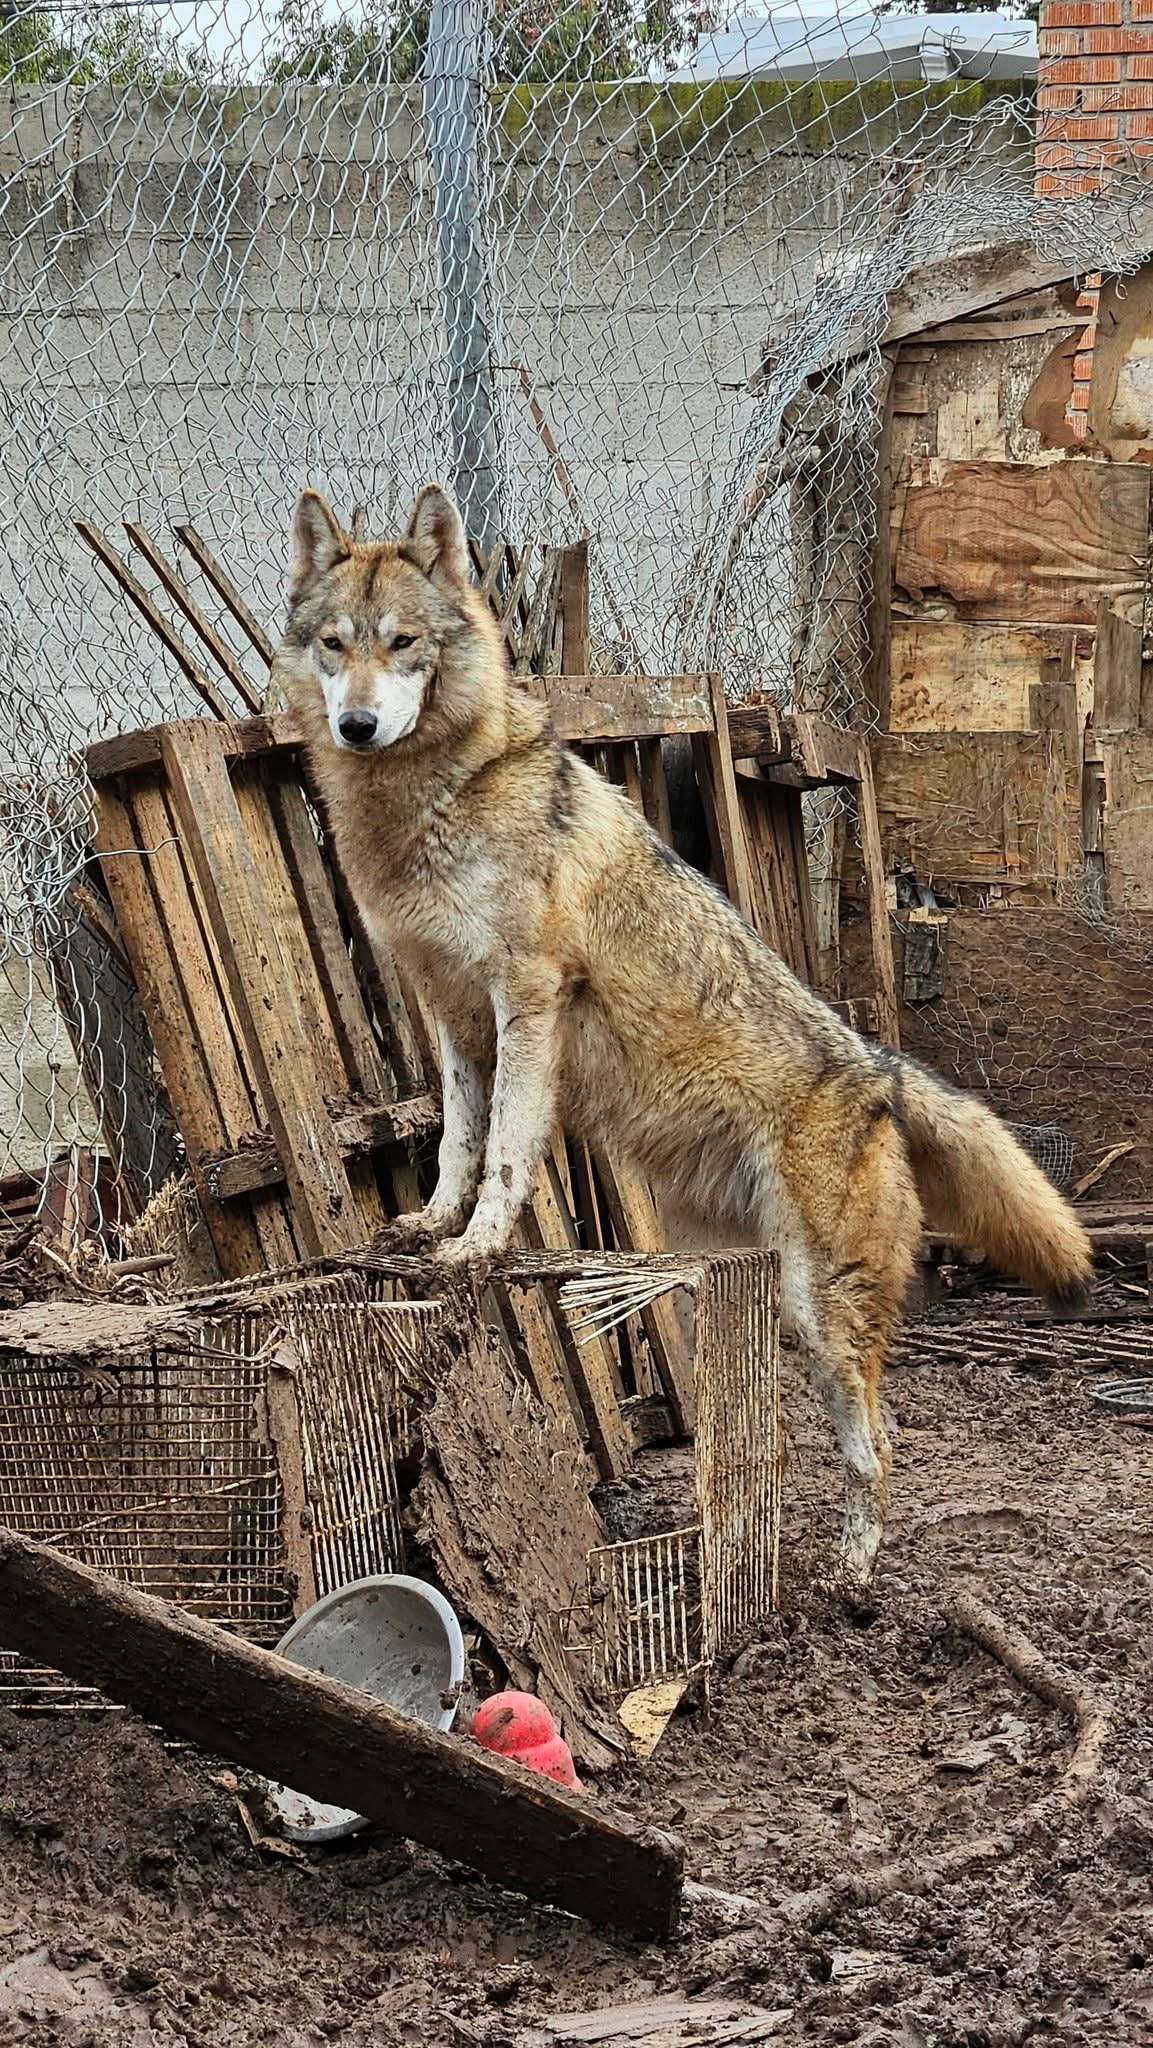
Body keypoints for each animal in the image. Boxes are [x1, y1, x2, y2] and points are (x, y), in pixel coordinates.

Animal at [276, 481, 1094, 1587]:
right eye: (334, 644)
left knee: (879, 1444)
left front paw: (479, 1246)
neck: (433, 800)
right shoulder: (451, 1013)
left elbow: (507, 1156)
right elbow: (455, 1141)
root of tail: (879, 1069)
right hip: (720, 1291)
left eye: (404, 643)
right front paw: (431, 1229)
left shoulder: (526, 997)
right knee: (768, 1439)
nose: (357, 725)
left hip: (817, 1311)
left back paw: (849, 1580)